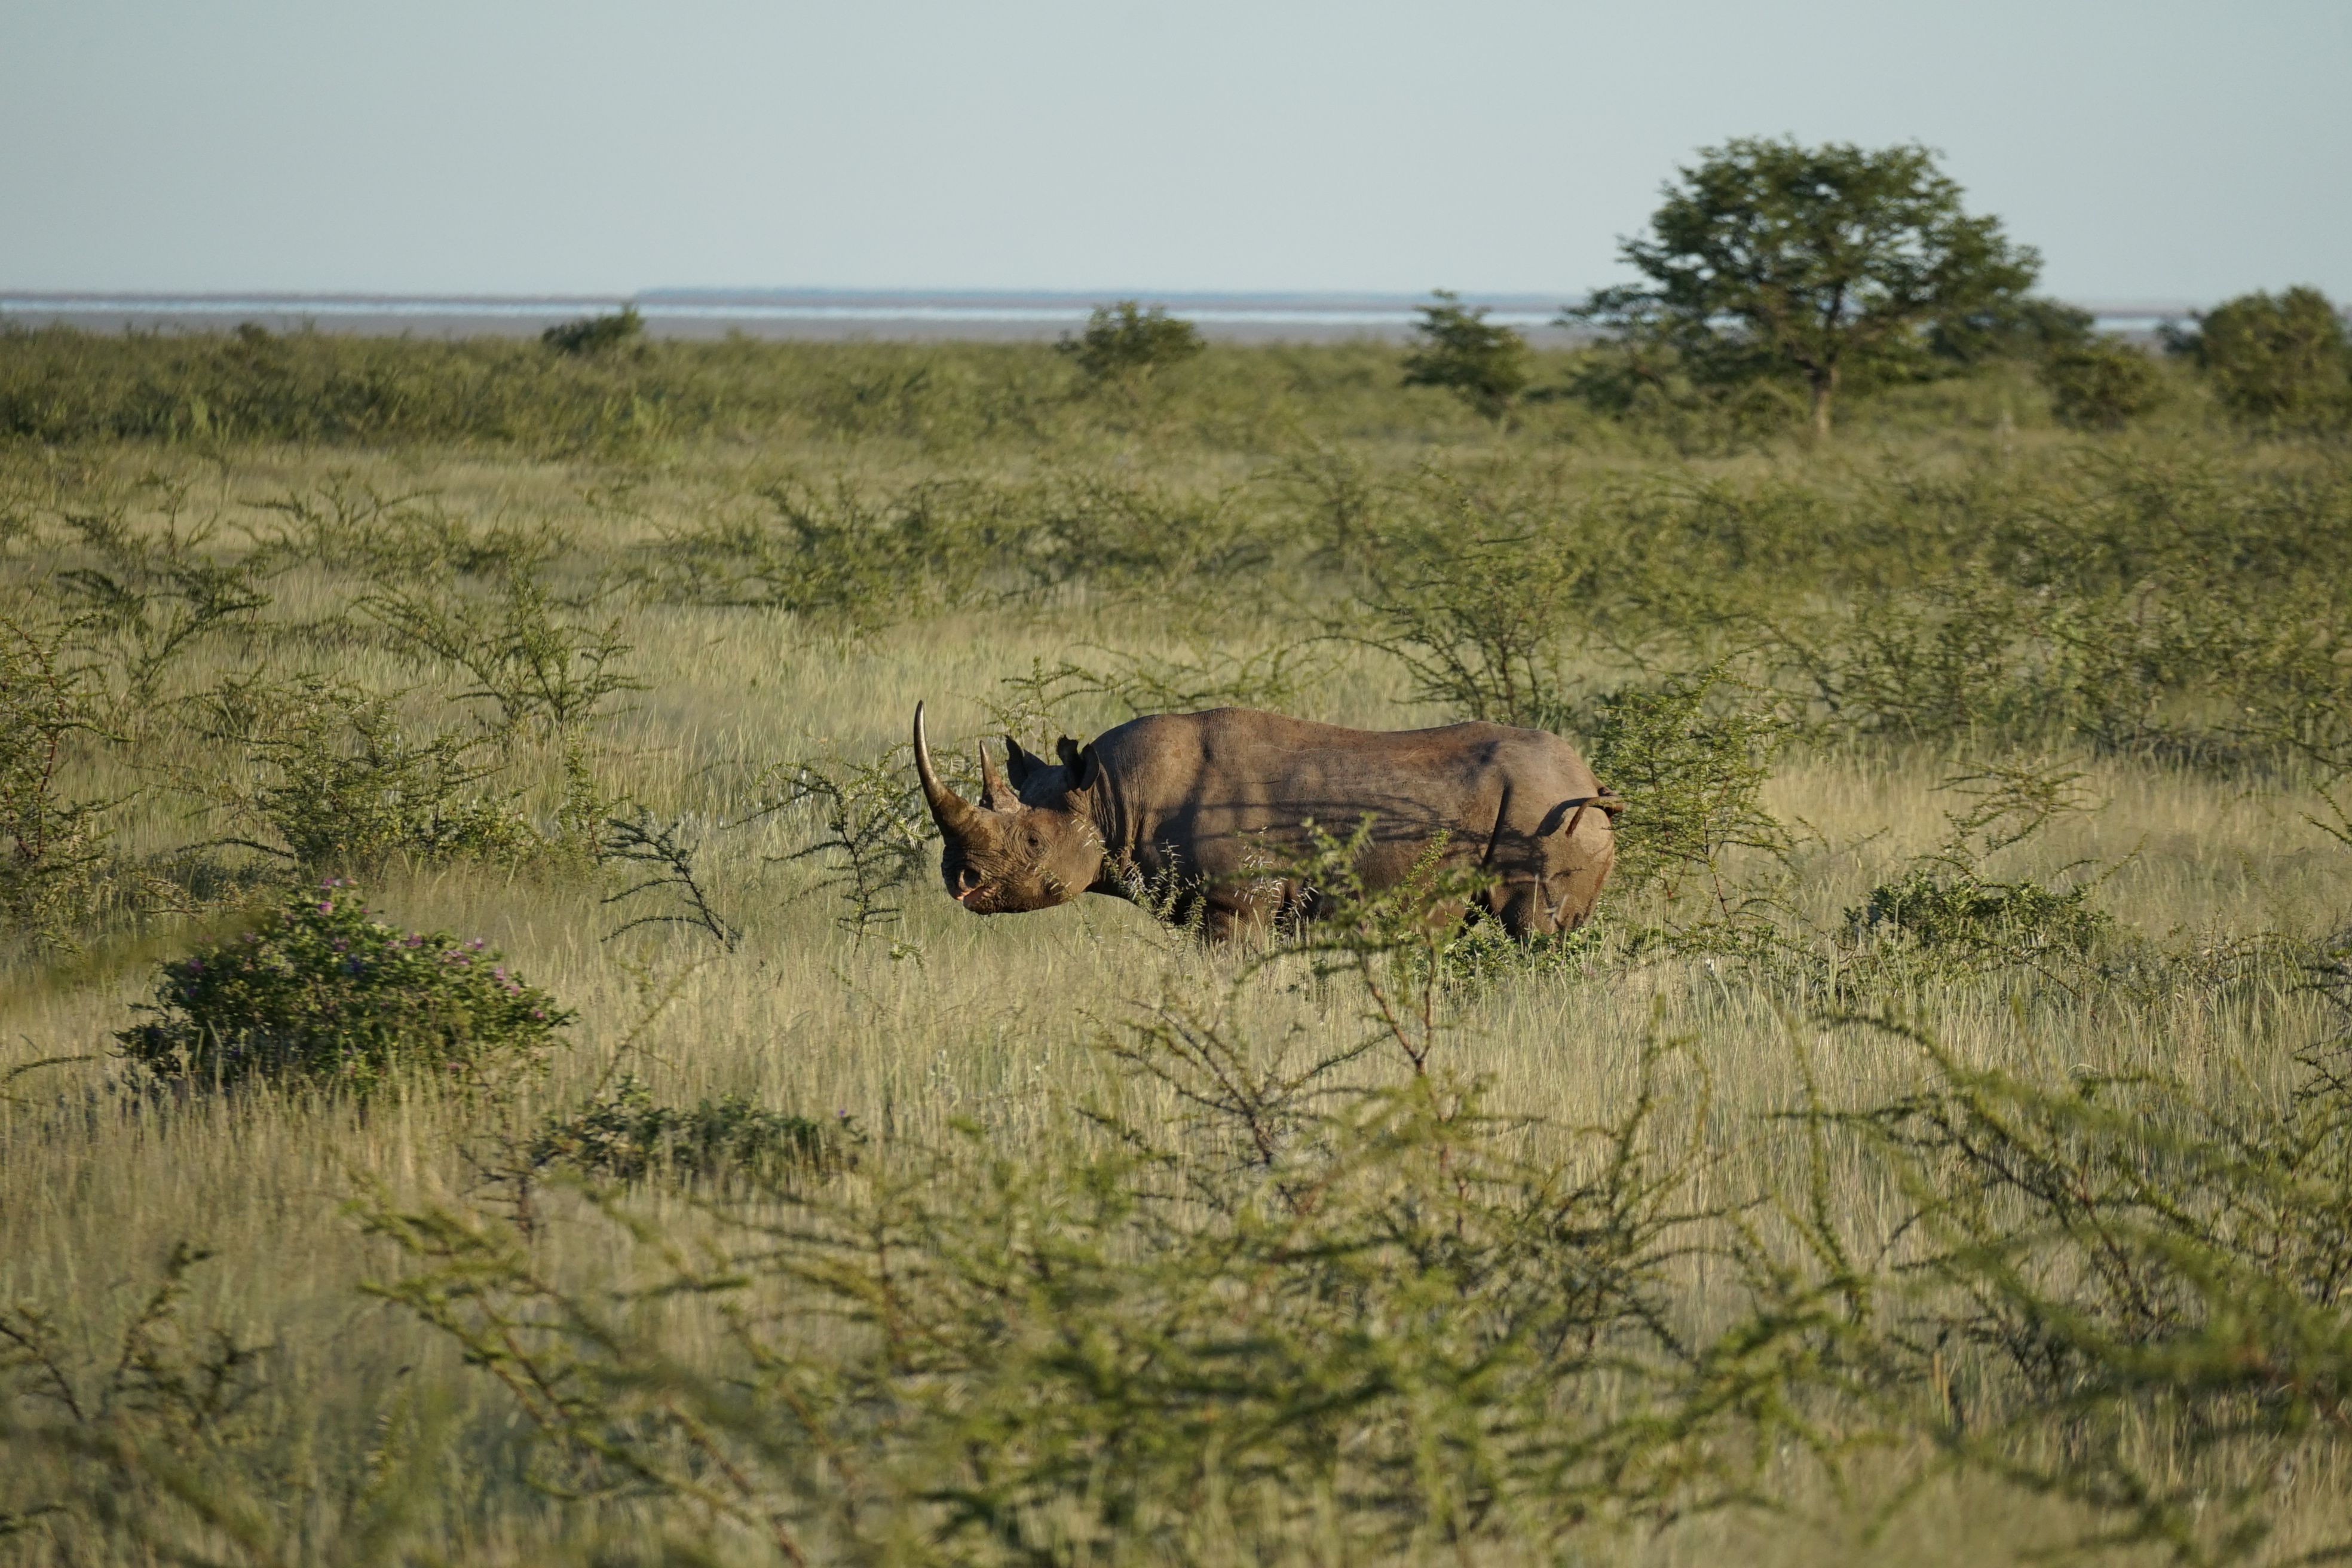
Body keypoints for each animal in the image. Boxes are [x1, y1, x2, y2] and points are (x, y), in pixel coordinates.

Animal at [912, 701, 1622, 941]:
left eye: (1033, 841)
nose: (958, 882)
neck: (1109, 793)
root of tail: (1590, 778)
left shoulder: (1237, 902)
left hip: (1544, 808)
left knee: (1535, 929)